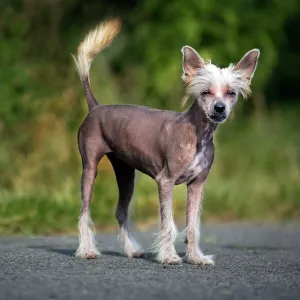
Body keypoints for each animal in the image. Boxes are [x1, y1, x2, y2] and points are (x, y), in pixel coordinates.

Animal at [72, 19, 258, 264]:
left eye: (230, 93)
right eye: (206, 92)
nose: (220, 108)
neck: (198, 135)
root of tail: (95, 107)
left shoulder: (197, 185)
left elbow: (192, 226)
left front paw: (195, 257)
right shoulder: (165, 181)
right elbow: (168, 224)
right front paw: (169, 256)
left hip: (126, 174)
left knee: (121, 212)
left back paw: (131, 250)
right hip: (90, 169)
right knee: (84, 212)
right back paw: (86, 250)